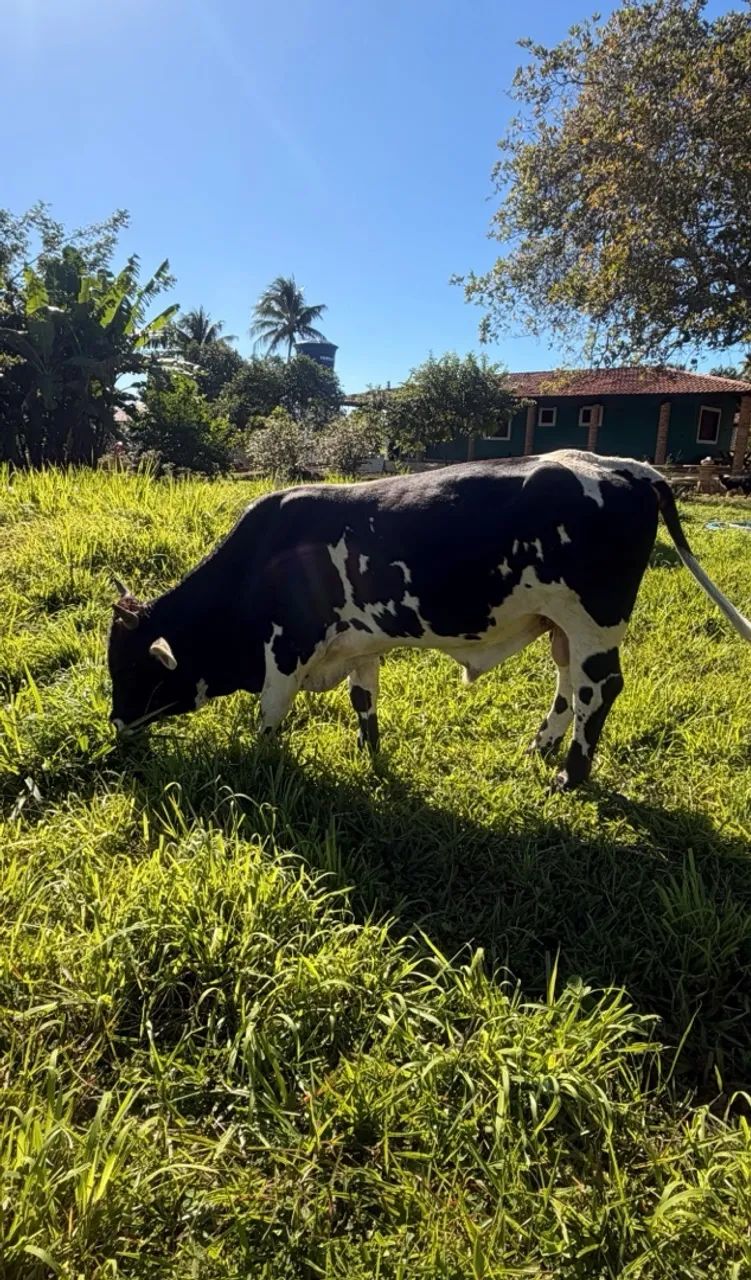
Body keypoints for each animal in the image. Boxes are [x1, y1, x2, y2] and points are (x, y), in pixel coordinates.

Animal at [107, 449, 751, 791]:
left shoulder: (286, 651)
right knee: (568, 686)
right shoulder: (359, 646)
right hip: (561, 627)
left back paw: (570, 776)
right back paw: (540, 747)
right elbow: (364, 705)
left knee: (599, 690)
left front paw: (260, 765)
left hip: (592, 622)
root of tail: (625, 466)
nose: (115, 726)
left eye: (131, 671)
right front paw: (369, 756)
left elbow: (269, 716)